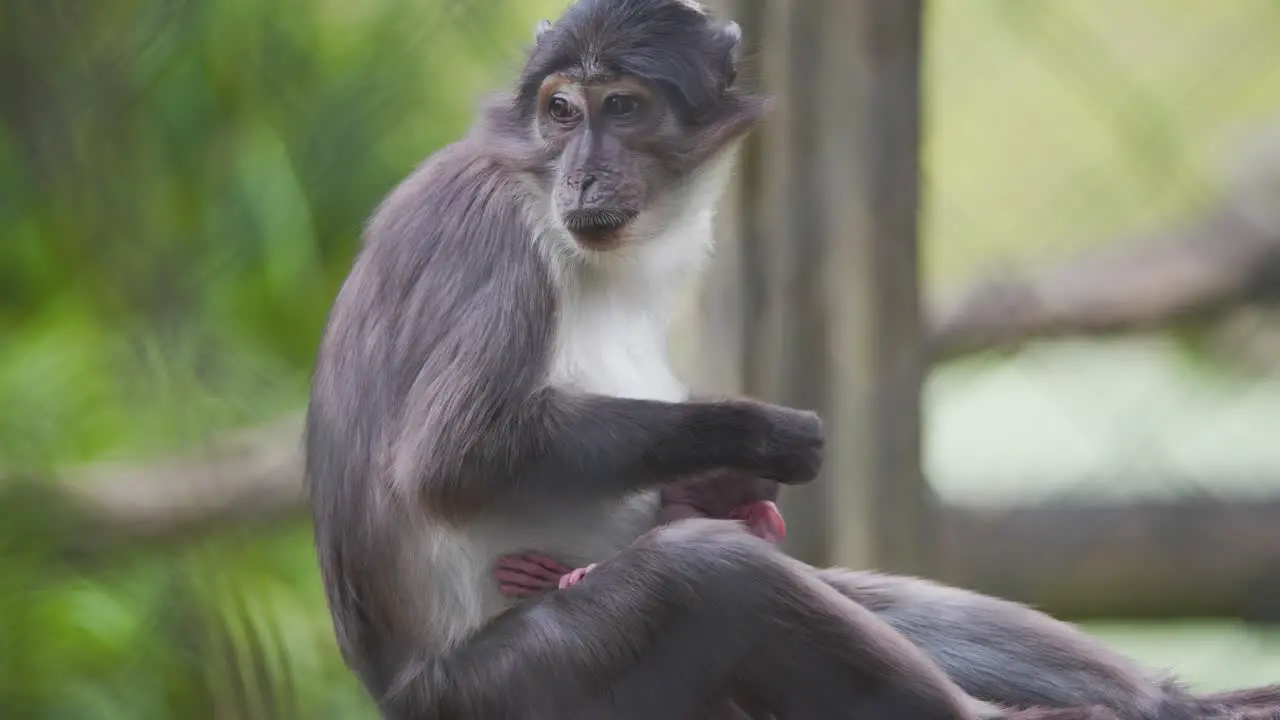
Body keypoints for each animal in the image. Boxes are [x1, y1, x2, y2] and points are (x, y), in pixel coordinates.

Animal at [299, 0, 1059, 712]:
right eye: (562, 111)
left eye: (623, 107)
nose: (581, 177)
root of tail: (400, 693)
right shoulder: (493, 229)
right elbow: (451, 459)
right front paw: (756, 433)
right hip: (517, 685)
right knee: (707, 571)